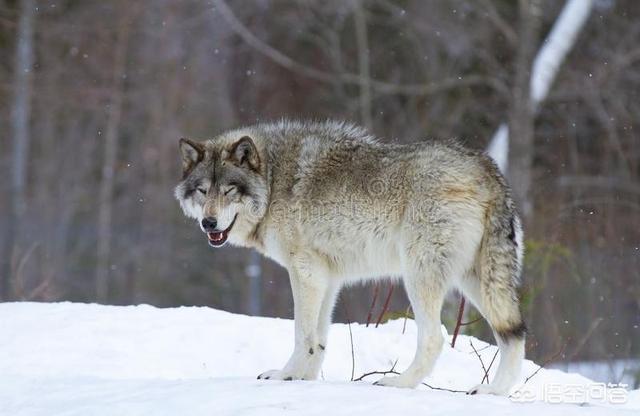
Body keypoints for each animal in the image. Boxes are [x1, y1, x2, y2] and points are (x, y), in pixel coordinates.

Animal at [175, 118, 524, 394]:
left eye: (229, 190)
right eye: (203, 191)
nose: (209, 223)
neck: (273, 182)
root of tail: (488, 169)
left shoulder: (304, 272)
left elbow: (302, 335)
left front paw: (285, 376)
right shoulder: (325, 278)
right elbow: (319, 339)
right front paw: (304, 381)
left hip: (419, 276)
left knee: (434, 338)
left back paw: (398, 383)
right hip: (476, 281)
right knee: (514, 334)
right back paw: (493, 392)